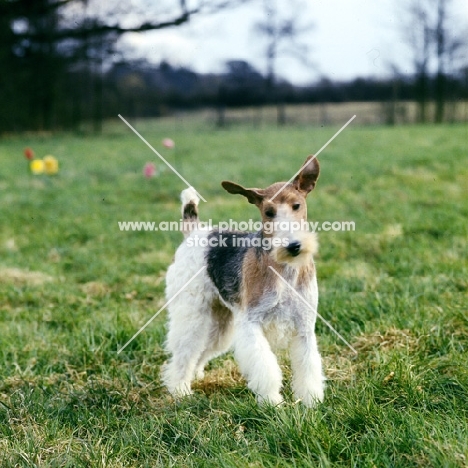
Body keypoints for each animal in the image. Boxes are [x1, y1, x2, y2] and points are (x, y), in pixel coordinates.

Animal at [163, 154, 324, 406]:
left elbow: (308, 367)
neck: (284, 270)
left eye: (297, 205)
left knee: (202, 351)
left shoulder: (304, 327)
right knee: (183, 352)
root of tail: (195, 231)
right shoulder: (251, 322)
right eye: (269, 212)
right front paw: (272, 403)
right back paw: (180, 390)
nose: (293, 246)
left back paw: (195, 376)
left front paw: (311, 403)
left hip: (220, 321)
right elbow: (265, 367)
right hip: (192, 312)